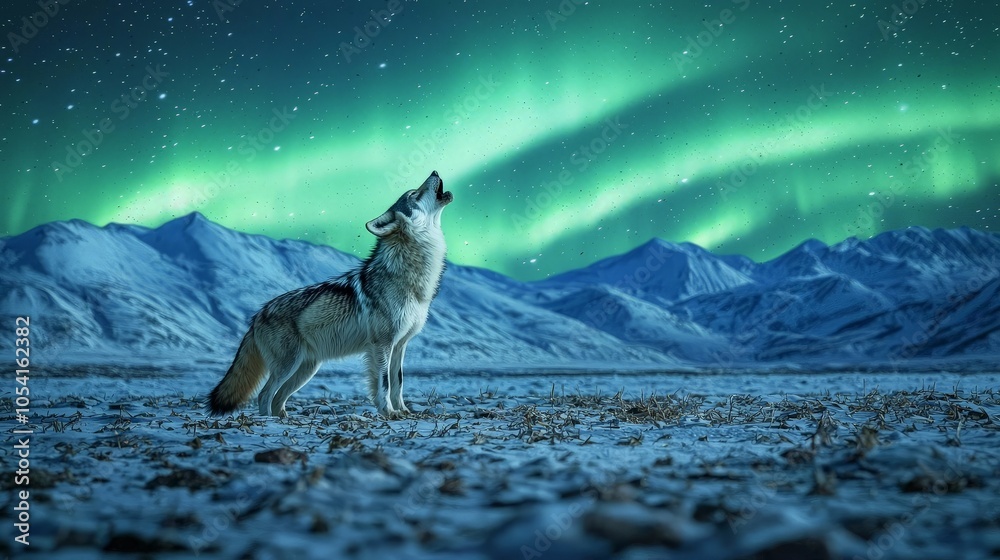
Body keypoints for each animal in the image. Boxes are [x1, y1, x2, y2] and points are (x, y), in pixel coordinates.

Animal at [207, 171, 452, 418]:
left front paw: (403, 411)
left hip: (306, 370)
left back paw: (285, 419)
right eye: (414, 194)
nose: (434, 172)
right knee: (264, 395)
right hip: (289, 366)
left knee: (277, 398)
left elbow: (398, 382)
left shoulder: (400, 345)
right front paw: (389, 413)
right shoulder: (382, 345)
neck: (411, 279)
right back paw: (270, 421)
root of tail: (257, 314)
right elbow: (384, 383)